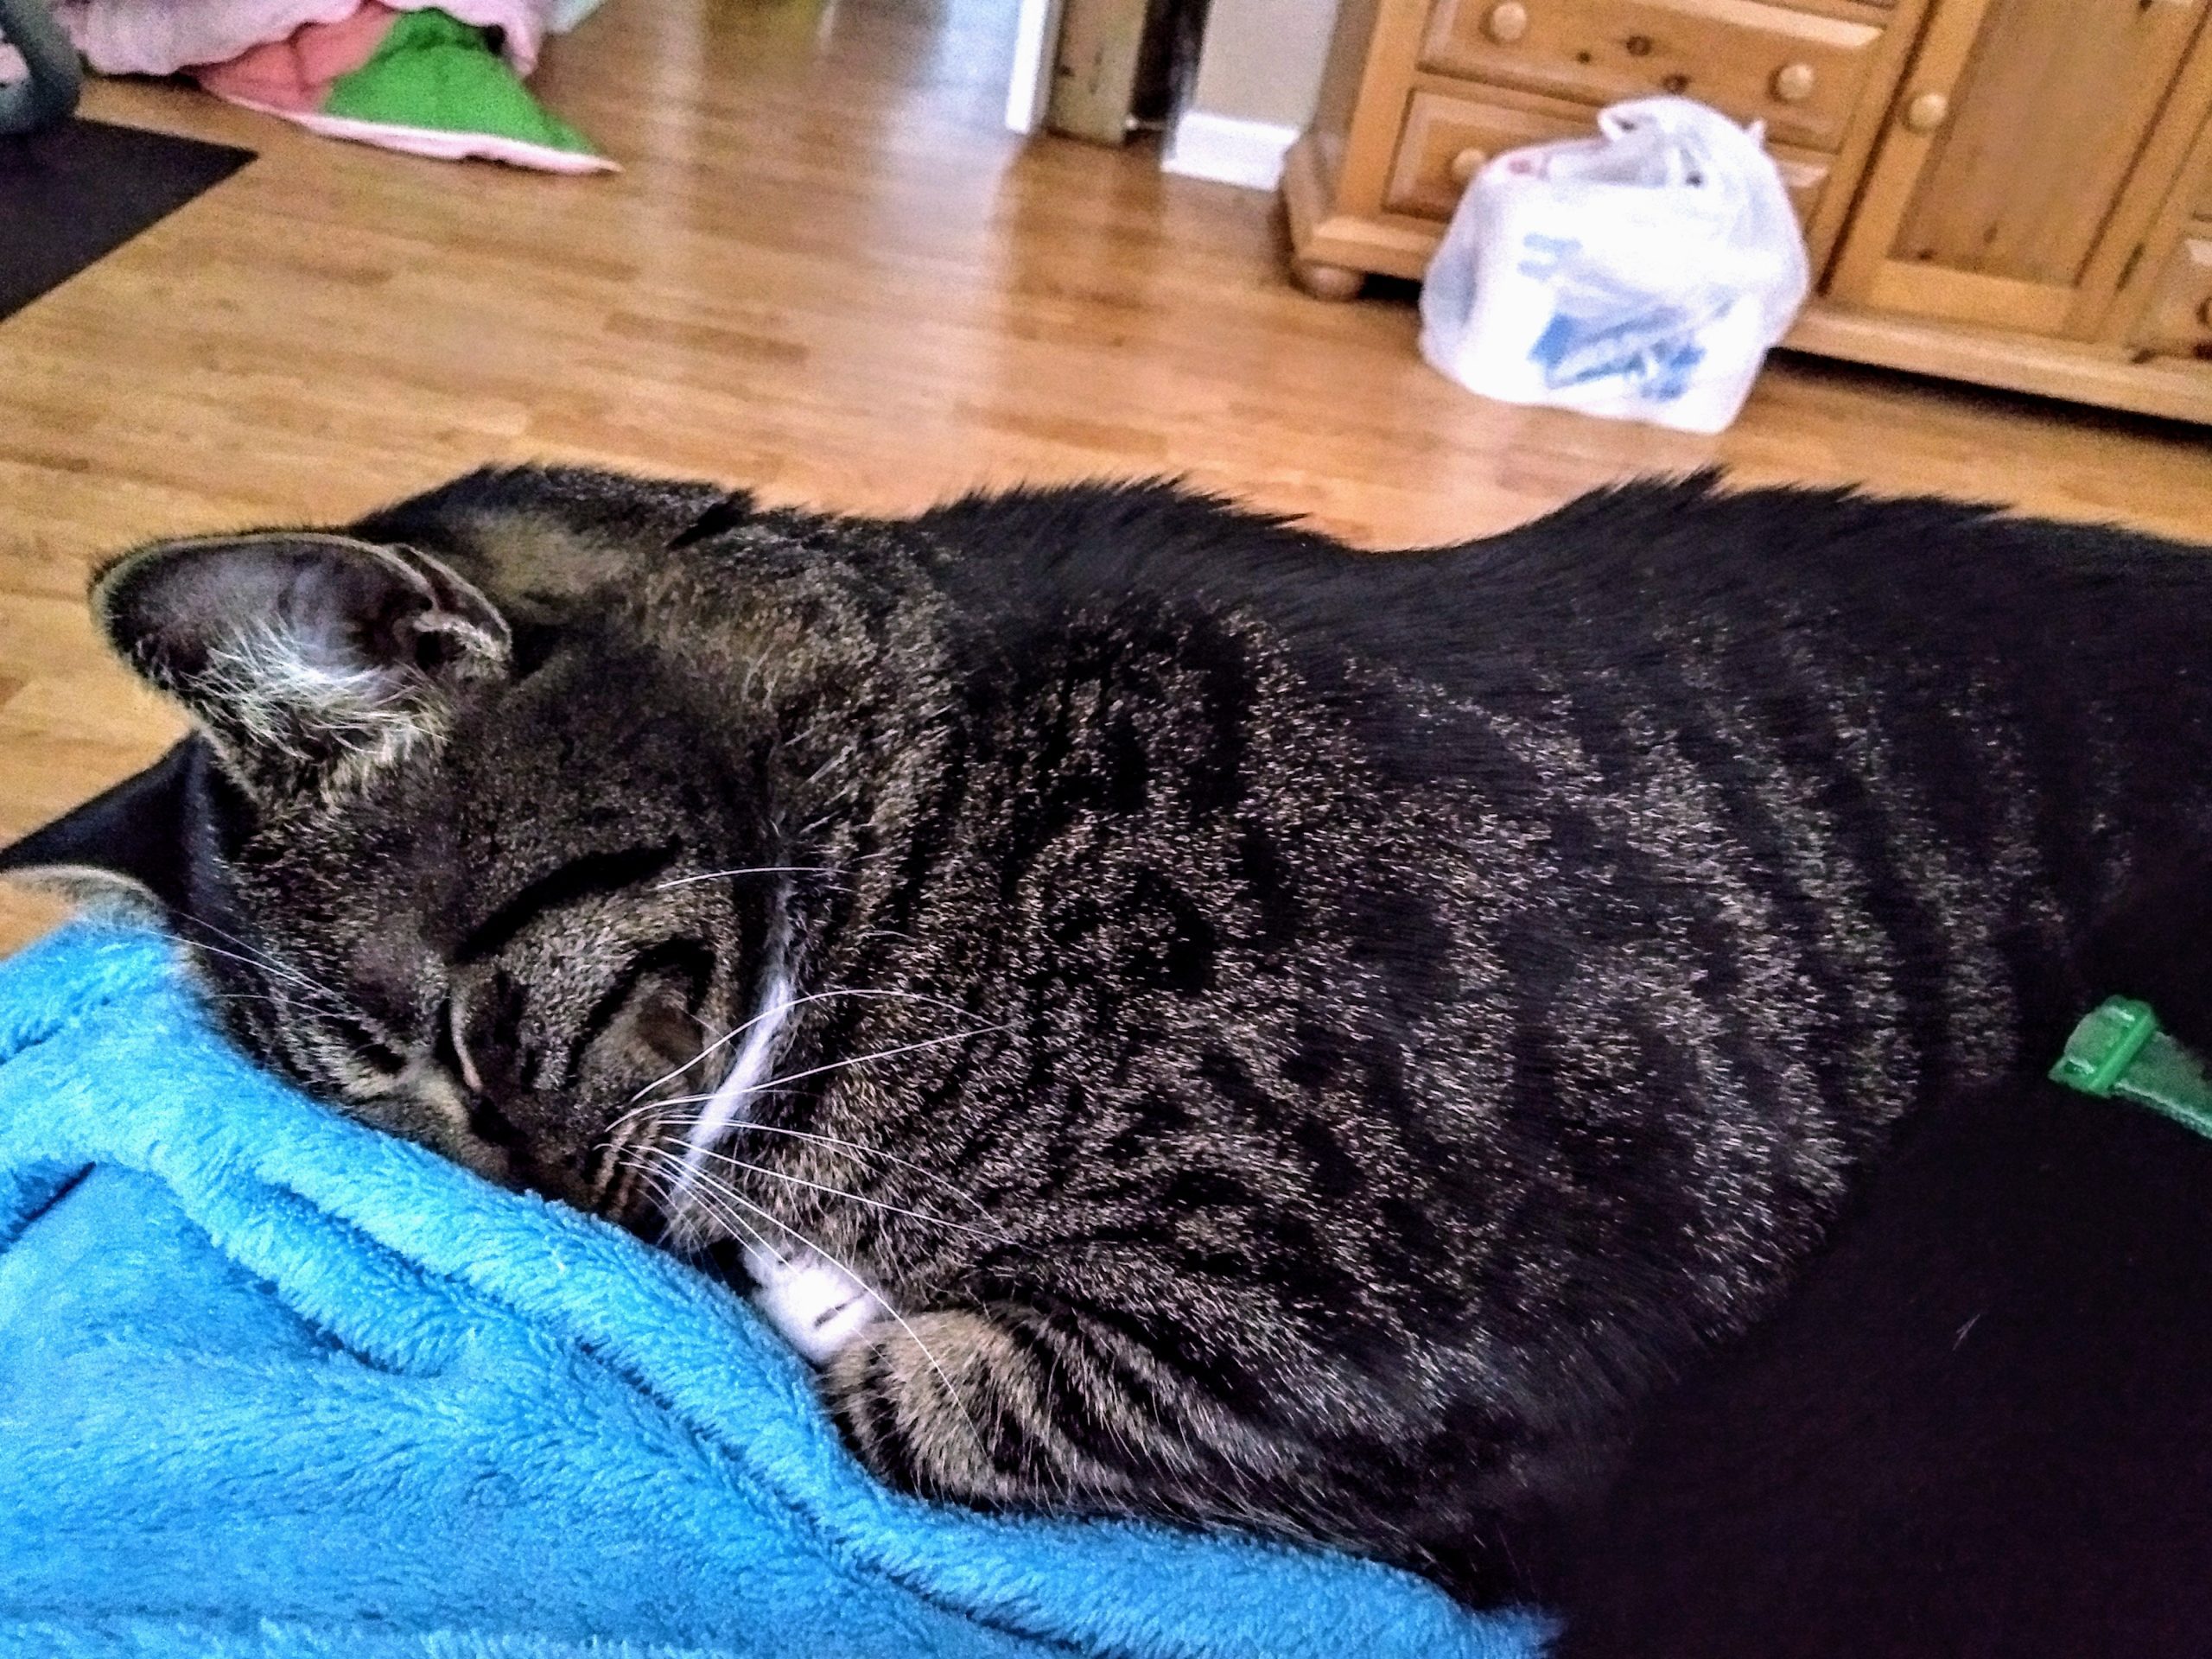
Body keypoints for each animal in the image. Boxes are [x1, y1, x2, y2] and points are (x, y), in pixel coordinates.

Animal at [4, 462, 2212, 1601]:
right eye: (367, 1118)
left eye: (457, 1040)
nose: (535, 1207)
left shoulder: (1397, 1330)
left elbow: (914, 1400)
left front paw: (803, 1282)